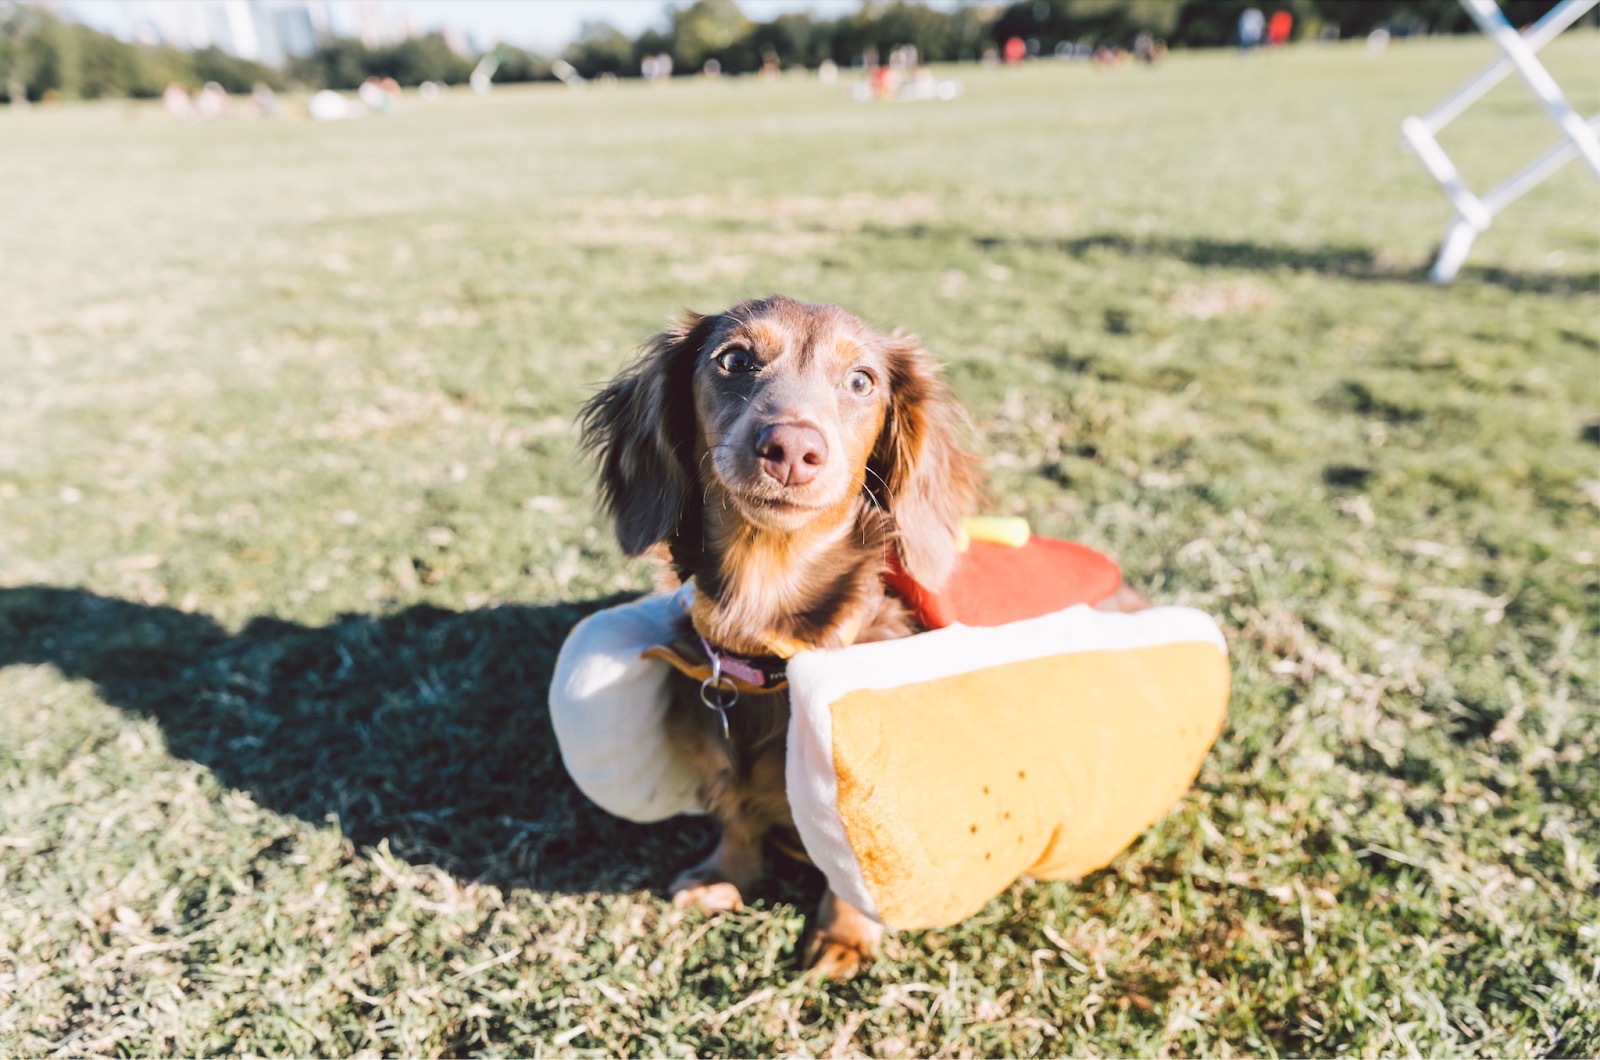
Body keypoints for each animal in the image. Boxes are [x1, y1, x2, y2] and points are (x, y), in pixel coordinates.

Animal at [582, 294, 979, 973]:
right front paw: (725, 877)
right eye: (735, 360)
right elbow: (739, 821)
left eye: (861, 381)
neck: (770, 645)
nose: (792, 448)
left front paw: (844, 937)